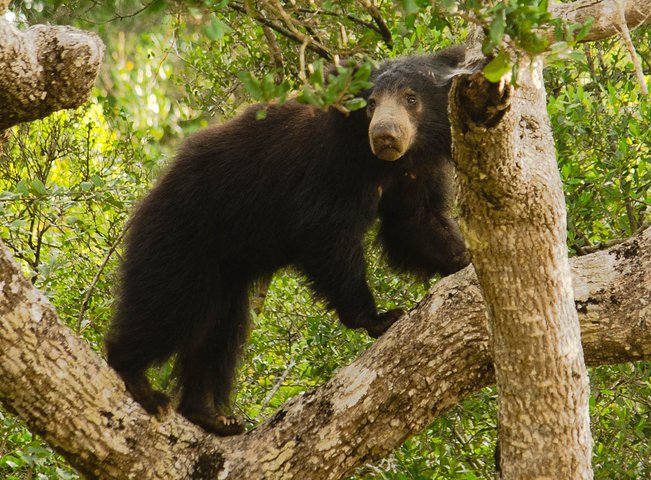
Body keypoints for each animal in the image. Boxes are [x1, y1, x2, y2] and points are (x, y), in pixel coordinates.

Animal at [104, 45, 470, 436]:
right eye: (370, 103)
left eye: (411, 98)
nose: (385, 135)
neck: (380, 163)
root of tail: (149, 195)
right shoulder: (330, 167)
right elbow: (327, 234)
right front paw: (379, 317)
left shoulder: (416, 171)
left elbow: (415, 223)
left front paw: (463, 259)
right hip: (182, 235)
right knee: (168, 304)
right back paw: (139, 381)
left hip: (223, 266)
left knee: (219, 332)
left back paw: (211, 415)